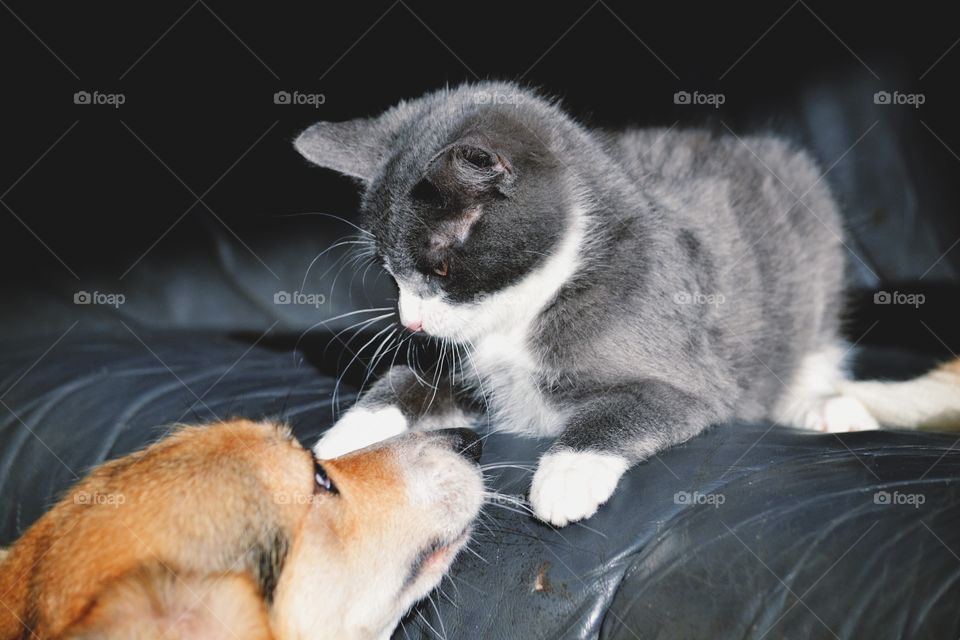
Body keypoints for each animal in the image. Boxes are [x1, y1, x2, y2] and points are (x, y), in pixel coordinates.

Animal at [296, 82, 960, 528]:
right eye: (388, 273)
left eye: (439, 267)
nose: (410, 319)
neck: (533, 306)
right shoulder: (465, 358)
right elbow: (415, 377)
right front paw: (344, 437)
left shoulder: (682, 368)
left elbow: (635, 406)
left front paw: (566, 475)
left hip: (811, 244)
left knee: (811, 353)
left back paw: (821, 406)